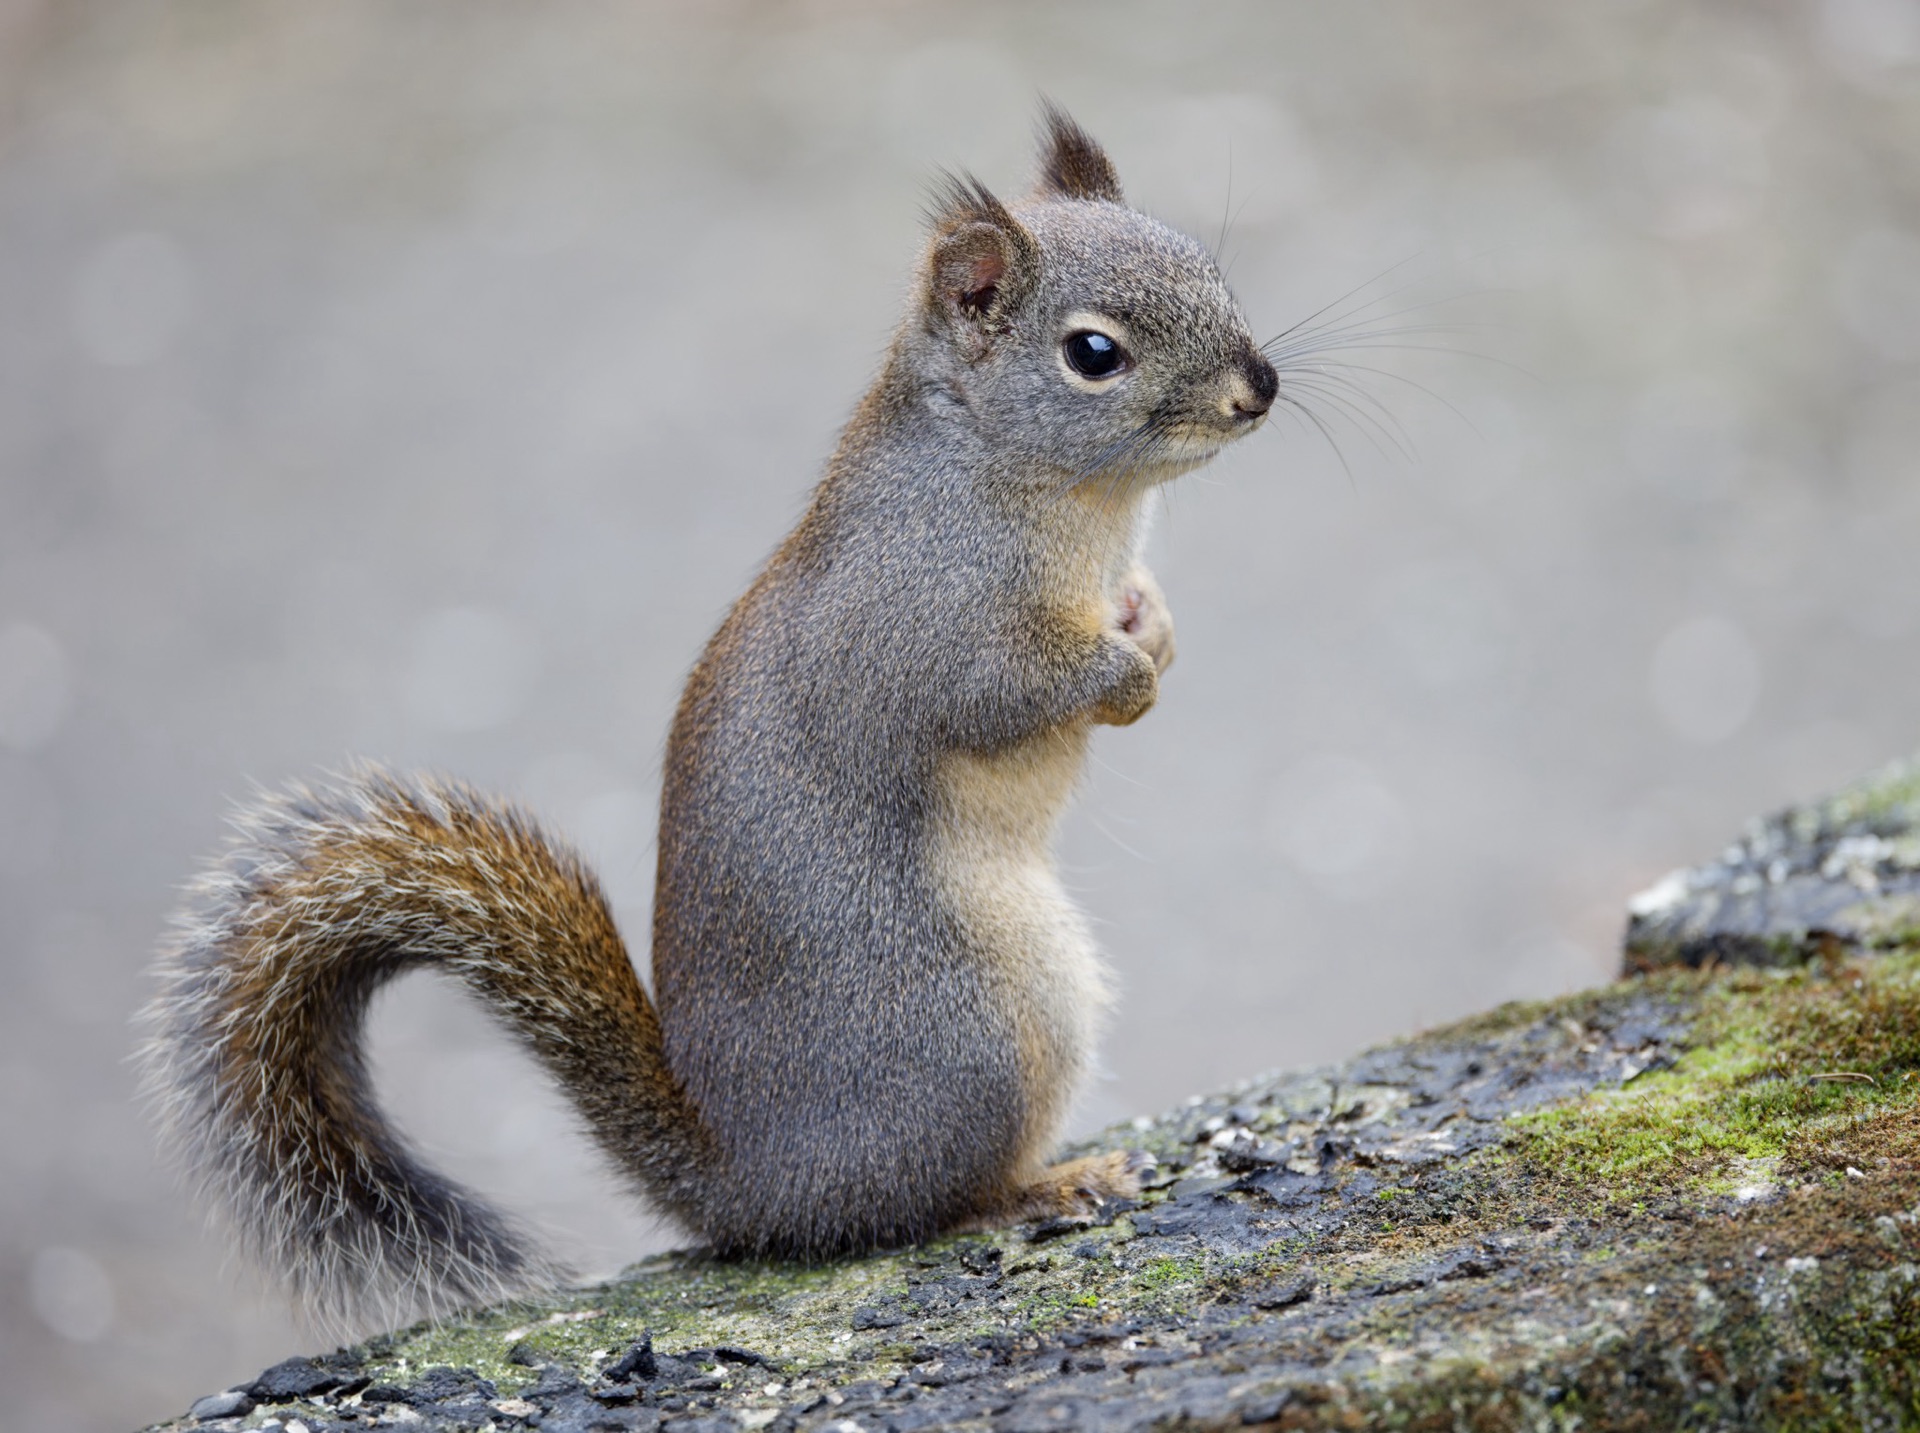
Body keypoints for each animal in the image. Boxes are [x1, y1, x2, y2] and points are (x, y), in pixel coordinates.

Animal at [140, 106, 1279, 1330]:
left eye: (1210, 268)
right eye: (1093, 353)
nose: (1258, 386)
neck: (1058, 496)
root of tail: (755, 1188)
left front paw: (1155, 628)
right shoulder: (923, 622)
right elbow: (996, 692)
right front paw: (1125, 677)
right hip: (984, 1028)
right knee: (933, 1204)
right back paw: (1044, 1185)